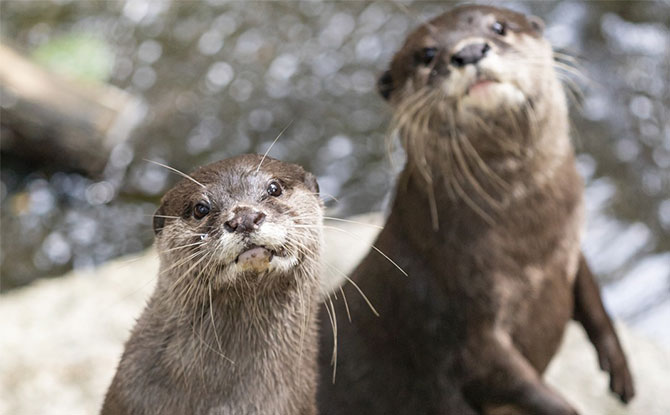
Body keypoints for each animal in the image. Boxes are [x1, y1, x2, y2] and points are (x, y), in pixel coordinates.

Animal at [318, 6, 636, 415]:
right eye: (426, 54)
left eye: (499, 27)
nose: (468, 51)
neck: (531, 248)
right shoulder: (458, 319)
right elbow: (510, 379)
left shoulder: (569, 249)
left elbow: (594, 298)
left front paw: (620, 370)